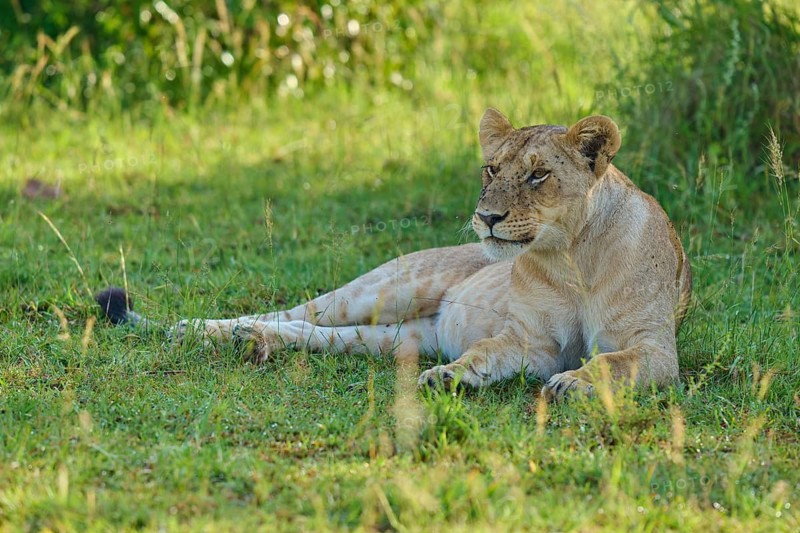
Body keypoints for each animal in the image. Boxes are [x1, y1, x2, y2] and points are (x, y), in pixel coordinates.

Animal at [96, 109, 691, 401]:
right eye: (491, 169)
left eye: (539, 174)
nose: (487, 218)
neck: (570, 260)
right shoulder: (530, 340)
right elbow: (485, 352)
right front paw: (451, 378)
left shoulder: (656, 348)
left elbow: (613, 360)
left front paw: (574, 382)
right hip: (391, 287)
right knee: (295, 311)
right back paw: (209, 329)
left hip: (396, 337)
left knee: (312, 333)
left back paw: (255, 342)